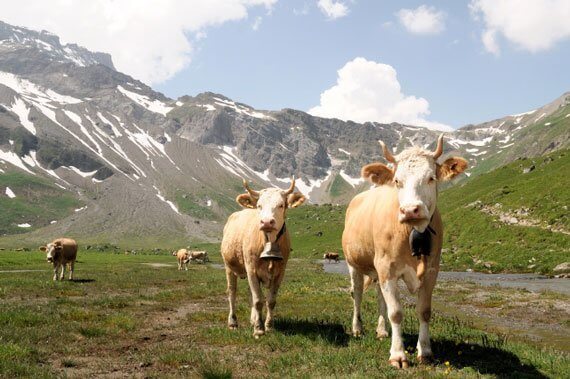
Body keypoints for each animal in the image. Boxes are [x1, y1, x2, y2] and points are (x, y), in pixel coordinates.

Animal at [220, 178, 304, 338]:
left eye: (281, 205)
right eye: (259, 205)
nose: (266, 222)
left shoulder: (280, 272)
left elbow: (270, 300)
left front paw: (269, 326)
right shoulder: (251, 269)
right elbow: (258, 300)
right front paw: (259, 329)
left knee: (250, 293)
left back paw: (253, 319)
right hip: (229, 266)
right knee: (232, 292)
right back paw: (233, 322)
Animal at [342, 136, 466, 368]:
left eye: (431, 178)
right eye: (397, 180)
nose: (410, 210)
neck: (412, 232)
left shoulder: (431, 271)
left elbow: (424, 311)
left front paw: (424, 351)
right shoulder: (387, 269)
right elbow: (397, 313)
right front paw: (398, 355)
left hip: (377, 270)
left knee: (379, 296)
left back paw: (382, 331)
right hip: (353, 263)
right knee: (358, 294)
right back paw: (357, 329)